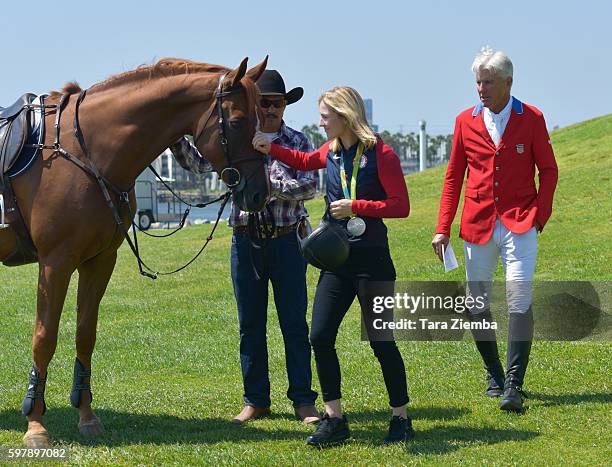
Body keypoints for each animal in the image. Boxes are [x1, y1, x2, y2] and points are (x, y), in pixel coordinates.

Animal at [0, 56, 268, 448]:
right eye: (236, 122)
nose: (261, 194)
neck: (85, 151)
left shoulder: (99, 262)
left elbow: (85, 335)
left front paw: (87, 416)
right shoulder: (55, 263)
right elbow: (44, 338)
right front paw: (35, 423)